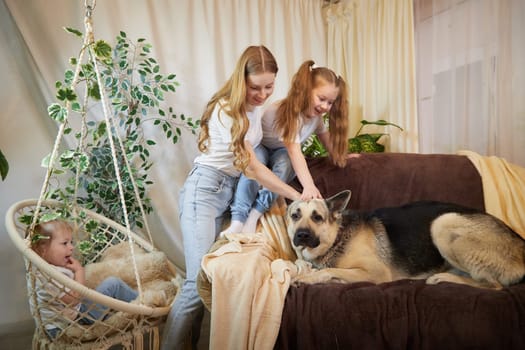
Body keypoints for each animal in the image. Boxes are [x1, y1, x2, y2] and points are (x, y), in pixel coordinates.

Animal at [286, 190, 524, 288]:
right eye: (295, 215)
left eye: (317, 217)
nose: (302, 235)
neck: (337, 237)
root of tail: (521, 243)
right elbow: (332, 273)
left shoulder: (376, 272)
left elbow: (327, 271)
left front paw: (307, 279)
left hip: (442, 223)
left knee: (493, 285)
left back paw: (442, 278)